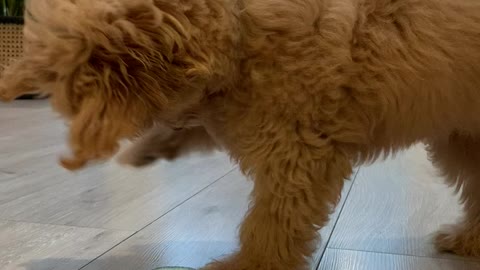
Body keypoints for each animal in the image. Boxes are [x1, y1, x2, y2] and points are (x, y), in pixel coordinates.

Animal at [0, 0, 480, 268]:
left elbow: (274, 217)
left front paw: (253, 263)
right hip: (464, 137)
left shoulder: (295, 147)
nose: (79, 151)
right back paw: (468, 239)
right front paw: (146, 149)